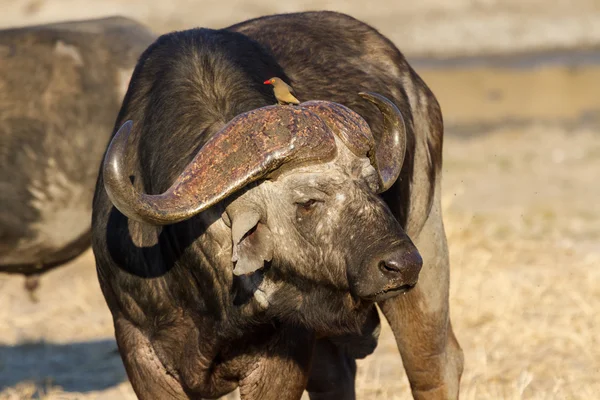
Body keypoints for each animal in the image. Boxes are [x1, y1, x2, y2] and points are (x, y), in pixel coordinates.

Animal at [91, 10, 464, 398]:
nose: (402, 264)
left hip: (425, 248)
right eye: (308, 201)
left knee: (433, 365)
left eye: (373, 186)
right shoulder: (138, 348)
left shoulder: (286, 352)